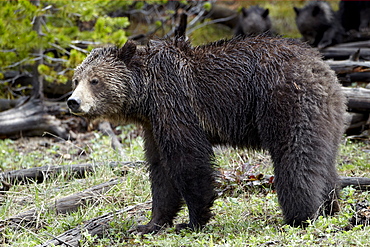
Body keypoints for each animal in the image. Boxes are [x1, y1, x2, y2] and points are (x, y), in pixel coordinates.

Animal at [68, 35, 348, 233]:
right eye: (76, 79)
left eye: (95, 80)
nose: (73, 102)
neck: (145, 96)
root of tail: (319, 66)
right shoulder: (153, 125)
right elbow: (160, 172)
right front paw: (150, 223)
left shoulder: (176, 105)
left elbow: (189, 161)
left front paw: (193, 220)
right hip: (328, 115)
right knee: (323, 160)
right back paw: (330, 206)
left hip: (283, 100)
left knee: (294, 156)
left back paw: (299, 216)